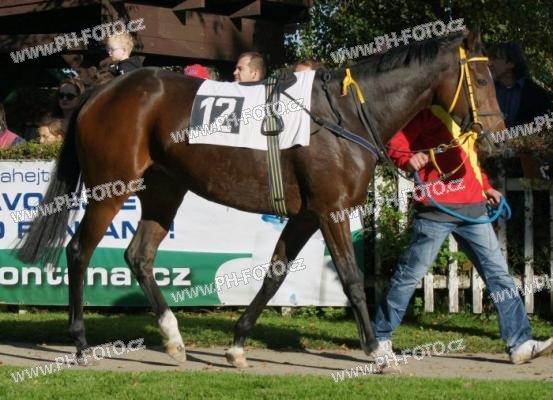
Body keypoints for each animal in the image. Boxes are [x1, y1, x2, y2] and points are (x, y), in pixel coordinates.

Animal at [16, 29, 504, 368]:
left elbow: (274, 275)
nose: (498, 137)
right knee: (79, 252)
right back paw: (81, 343)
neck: (345, 116)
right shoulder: (331, 210)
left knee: (138, 255)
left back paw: (174, 338)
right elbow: (350, 278)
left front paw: (236, 344)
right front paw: (377, 352)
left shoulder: (306, 215)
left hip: (165, 187)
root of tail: (102, 91)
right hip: (111, 188)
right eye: (482, 78)